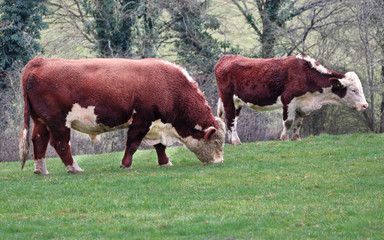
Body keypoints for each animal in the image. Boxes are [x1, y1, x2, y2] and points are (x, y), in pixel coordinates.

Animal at [18, 58, 225, 174]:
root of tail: (40, 61)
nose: (219, 162)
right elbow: (132, 144)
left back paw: (41, 170)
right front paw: (126, 165)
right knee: (60, 144)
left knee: (39, 141)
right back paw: (74, 168)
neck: (168, 86)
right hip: (58, 122)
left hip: (41, 121)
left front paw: (165, 162)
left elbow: (160, 146)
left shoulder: (155, 124)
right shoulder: (142, 120)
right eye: (216, 142)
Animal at [216, 54, 368, 144]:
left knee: (233, 120)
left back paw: (231, 140)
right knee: (230, 119)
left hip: (237, 102)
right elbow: (288, 122)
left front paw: (296, 138)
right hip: (228, 98)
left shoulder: (302, 104)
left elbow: (298, 122)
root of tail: (226, 57)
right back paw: (236, 141)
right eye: (353, 90)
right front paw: (284, 138)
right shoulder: (288, 99)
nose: (365, 105)